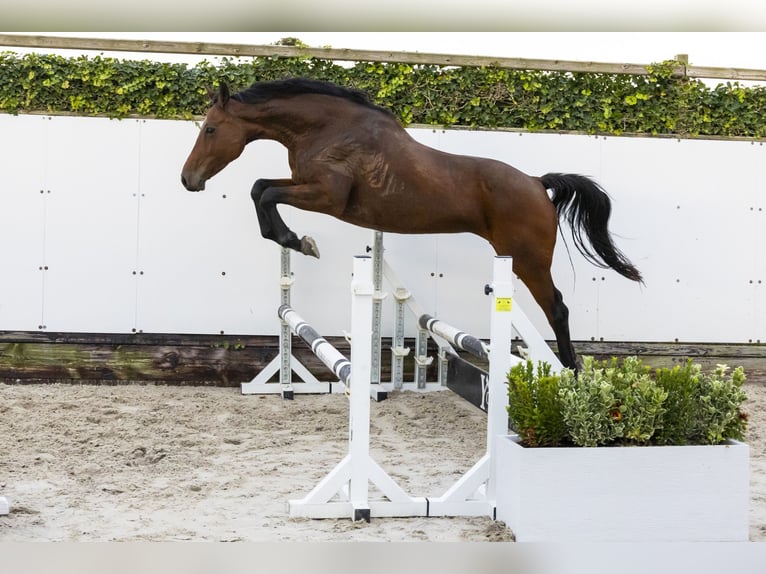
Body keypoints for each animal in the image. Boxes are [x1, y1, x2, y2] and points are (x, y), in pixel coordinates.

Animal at [182, 79, 640, 372]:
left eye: (211, 129)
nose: (188, 180)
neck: (327, 130)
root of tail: (535, 182)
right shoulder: (303, 185)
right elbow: (261, 187)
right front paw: (294, 239)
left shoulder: (327, 197)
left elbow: (265, 194)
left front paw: (296, 240)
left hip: (528, 260)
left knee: (557, 307)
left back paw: (569, 369)